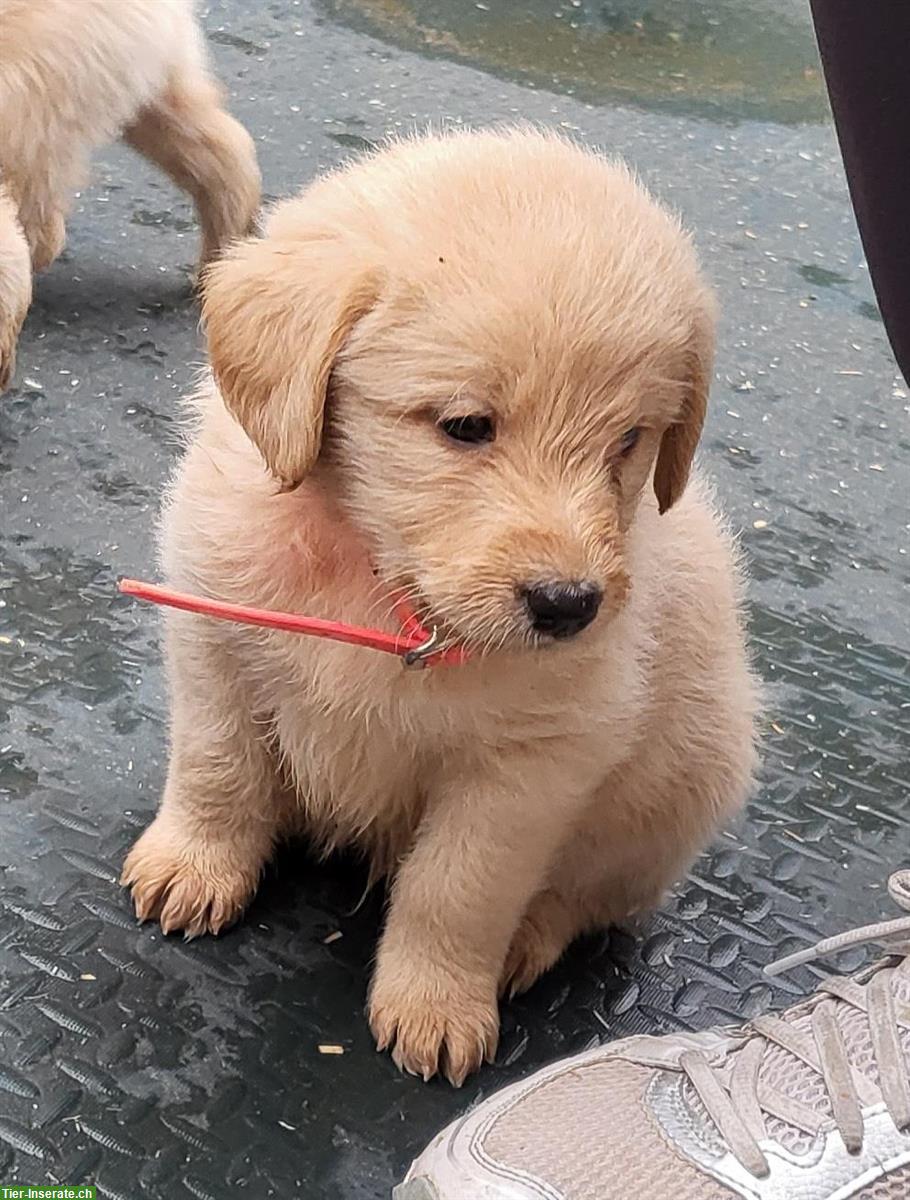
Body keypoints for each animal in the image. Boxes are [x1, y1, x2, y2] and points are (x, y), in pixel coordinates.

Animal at [123, 131, 763, 1089]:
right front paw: (195, 865)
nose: (570, 606)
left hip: (687, 774)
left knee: (588, 896)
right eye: (465, 426)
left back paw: (528, 940)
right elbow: (216, 768)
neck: (381, 580)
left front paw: (436, 1003)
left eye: (627, 442)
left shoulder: (530, 770)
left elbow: (458, 888)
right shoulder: (213, 639)